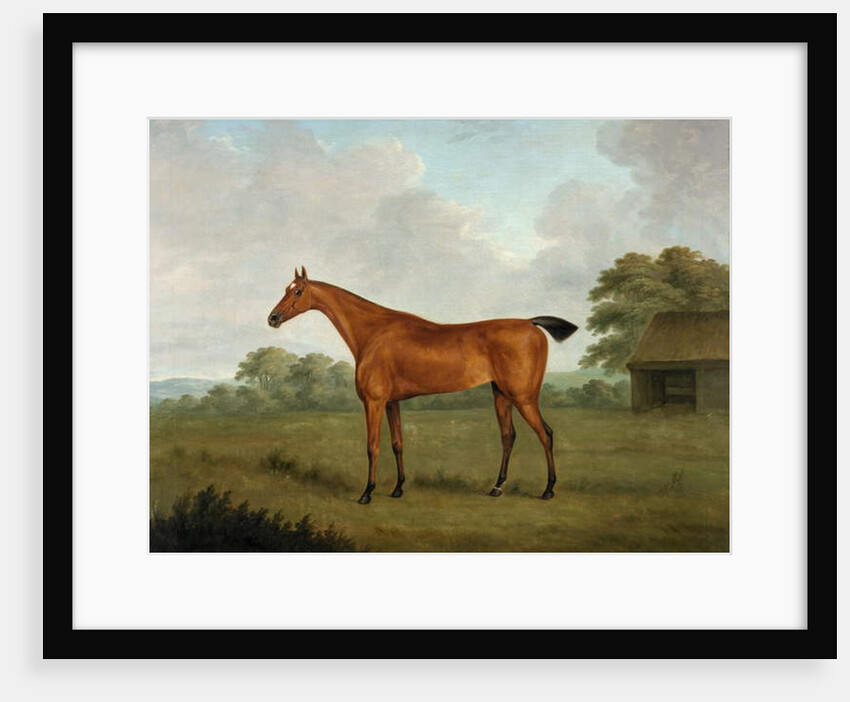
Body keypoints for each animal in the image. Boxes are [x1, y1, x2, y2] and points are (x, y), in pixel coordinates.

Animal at [268, 267, 578, 505]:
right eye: (285, 288)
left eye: (297, 291)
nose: (273, 318)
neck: (374, 333)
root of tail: (530, 323)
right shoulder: (392, 403)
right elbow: (397, 444)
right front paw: (397, 488)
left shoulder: (374, 402)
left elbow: (372, 446)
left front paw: (367, 493)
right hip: (501, 395)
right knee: (508, 436)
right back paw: (497, 487)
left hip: (523, 397)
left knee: (546, 434)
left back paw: (548, 490)